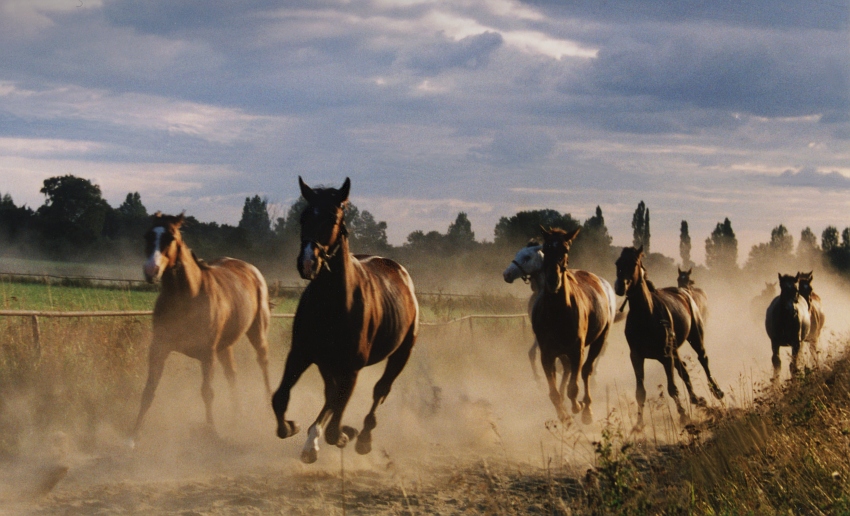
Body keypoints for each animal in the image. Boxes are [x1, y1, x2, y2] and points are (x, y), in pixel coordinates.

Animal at [131, 212, 270, 442]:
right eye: (147, 235)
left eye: (170, 237)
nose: (151, 270)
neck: (188, 296)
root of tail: (251, 269)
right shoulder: (159, 348)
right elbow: (148, 390)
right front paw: (132, 437)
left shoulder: (207, 353)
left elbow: (207, 392)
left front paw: (212, 431)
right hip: (225, 346)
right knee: (232, 374)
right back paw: (237, 416)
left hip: (257, 332)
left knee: (263, 363)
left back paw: (269, 407)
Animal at [272, 177, 418, 464]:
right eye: (304, 216)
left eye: (333, 218)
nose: (308, 262)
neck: (332, 304)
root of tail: (400, 271)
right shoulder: (301, 354)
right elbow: (280, 398)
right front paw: (292, 427)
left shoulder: (351, 368)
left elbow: (334, 423)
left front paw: (342, 435)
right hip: (326, 363)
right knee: (330, 396)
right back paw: (314, 438)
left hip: (401, 353)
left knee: (379, 391)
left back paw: (361, 437)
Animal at [528, 228, 616, 426]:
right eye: (545, 248)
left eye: (565, 249)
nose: (553, 280)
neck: (557, 312)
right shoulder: (547, 354)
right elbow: (554, 392)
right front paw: (564, 416)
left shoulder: (577, 350)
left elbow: (573, 387)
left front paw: (579, 407)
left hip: (599, 339)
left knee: (586, 370)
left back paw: (587, 408)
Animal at [608, 246, 724, 428]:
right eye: (617, 262)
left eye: (633, 263)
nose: (619, 287)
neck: (645, 316)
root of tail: (684, 292)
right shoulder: (636, 356)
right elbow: (640, 392)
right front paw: (638, 424)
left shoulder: (665, 356)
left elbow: (672, 388)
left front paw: (683, 415)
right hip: (674, 348)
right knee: (684, 370)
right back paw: (697, 399)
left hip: (695, 337)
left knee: (703, 359)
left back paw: (715, 390)